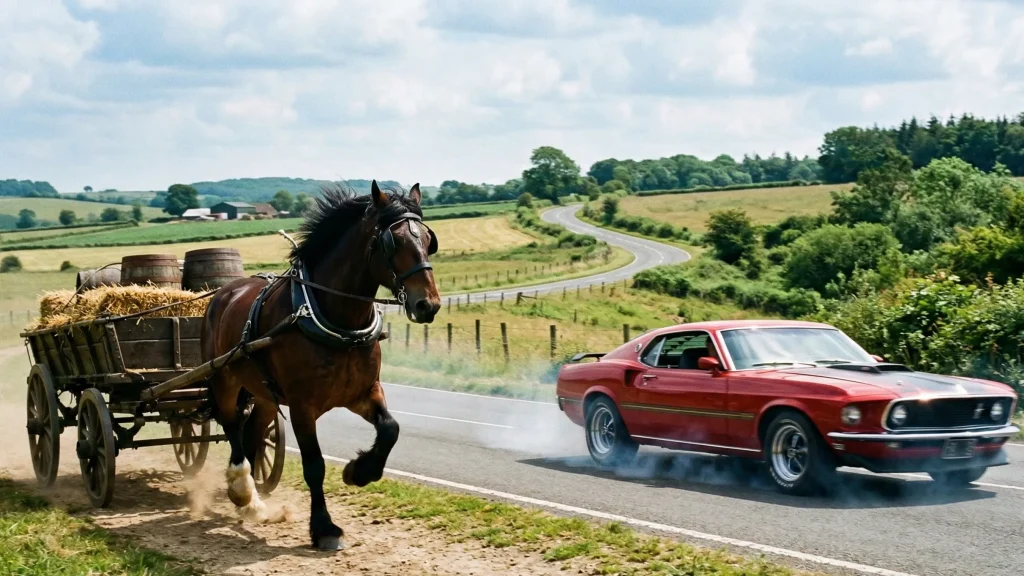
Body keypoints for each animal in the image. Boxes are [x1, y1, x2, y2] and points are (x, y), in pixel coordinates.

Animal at [200, 180, 440, 550]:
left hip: (265, 395)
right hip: (224, 379)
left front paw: (359, 471)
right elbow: (314, 465)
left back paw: (252, 501)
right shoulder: (302, 406)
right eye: (393, 241)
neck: (336, 320)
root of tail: (224, 292)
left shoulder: (363, 392)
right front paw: (324, 528)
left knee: (253, 430)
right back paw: (241, 489)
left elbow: (390, 429)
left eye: (429, 240)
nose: (428, 304)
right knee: (232, 427)